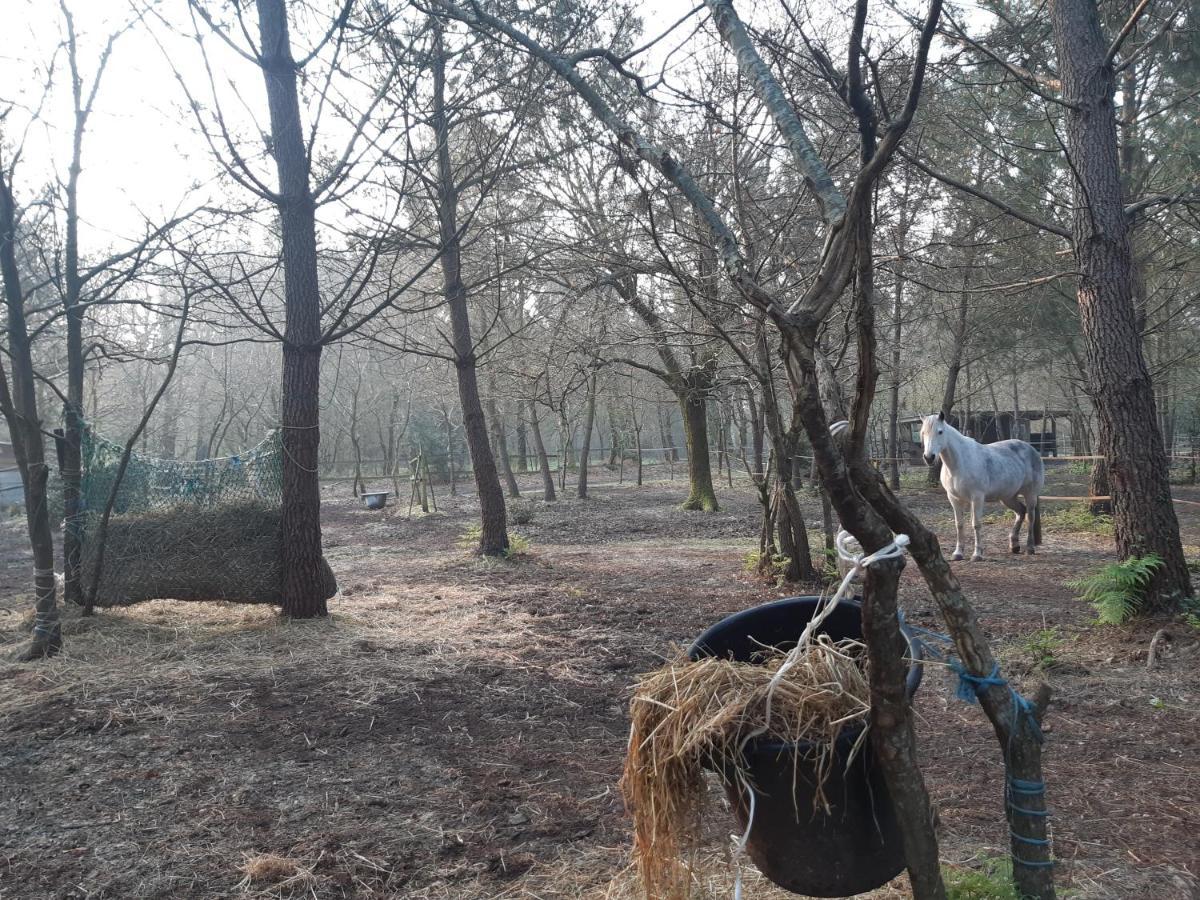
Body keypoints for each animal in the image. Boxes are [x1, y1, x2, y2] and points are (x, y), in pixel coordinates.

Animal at [916, 412, 1041, 561]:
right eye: (923, 433)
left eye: (940, 432)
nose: (929, 457)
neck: (959, 464)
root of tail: (1032, 449)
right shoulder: (954, 499)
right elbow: (959, 525)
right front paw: (958, 553)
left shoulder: (977, 498)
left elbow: (976, 524)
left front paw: (977, 554)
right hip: (1008, 497)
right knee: (1021, 511)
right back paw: (1014, 545)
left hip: (1030, 494)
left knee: (1030, 516)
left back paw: (1030, 548)